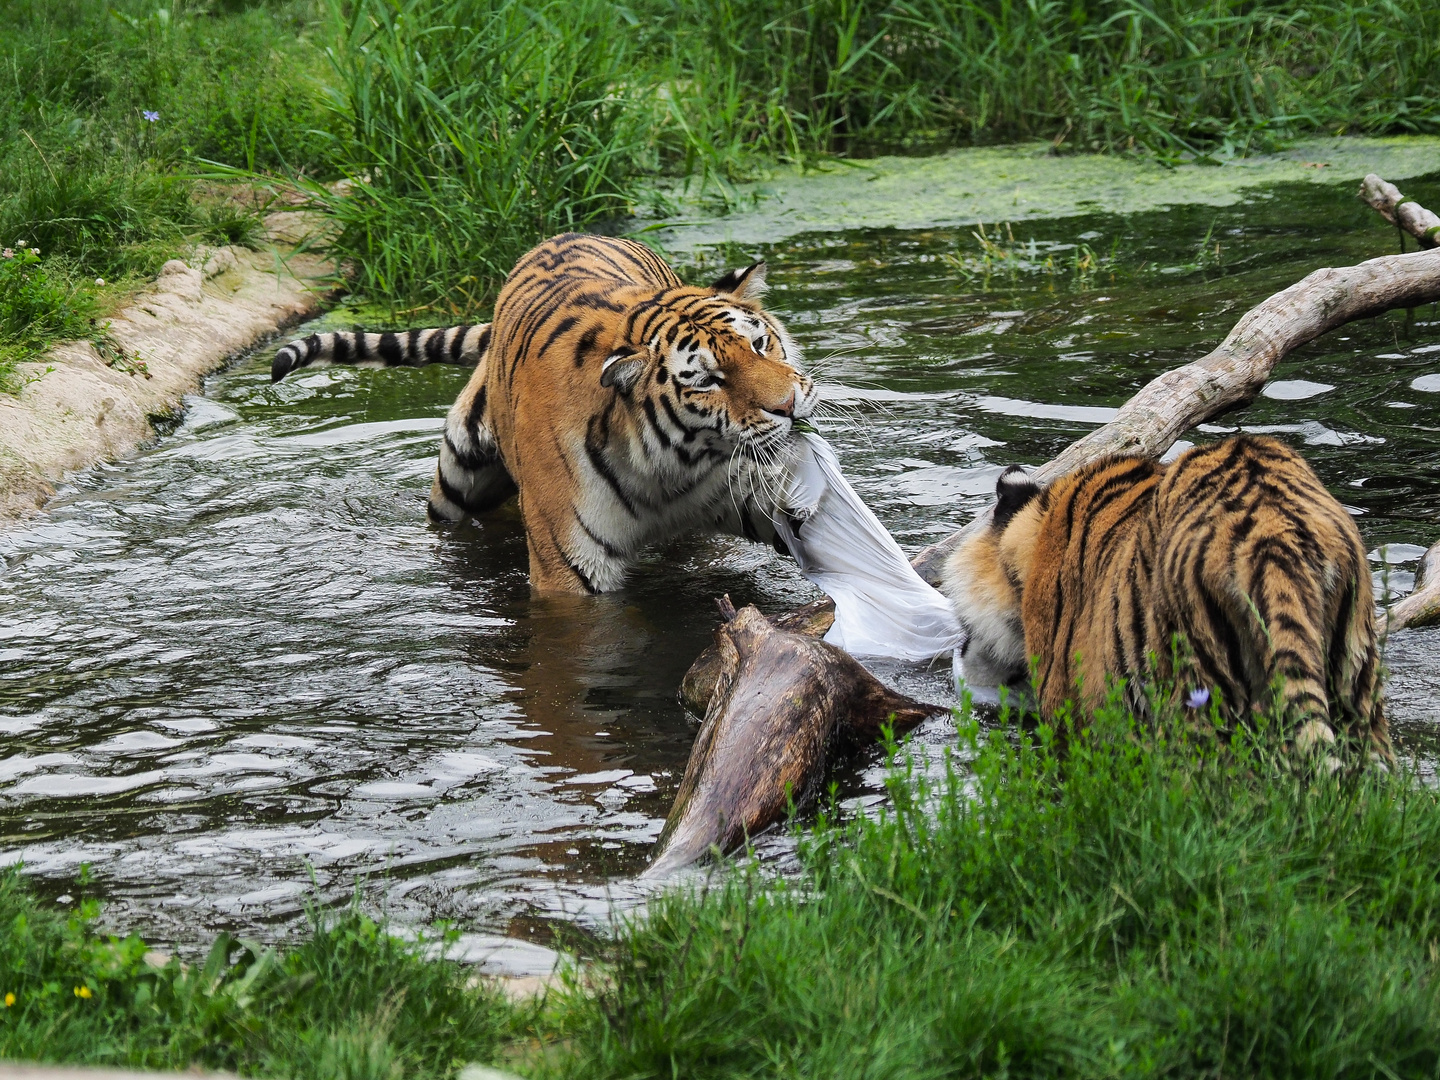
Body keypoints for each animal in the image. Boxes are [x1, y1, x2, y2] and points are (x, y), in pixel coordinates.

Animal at [272, 231, 812, 596]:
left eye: (760, 344)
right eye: (706, 381)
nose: (788, 405)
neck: (672, 467)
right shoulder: (570, 572)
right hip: (456, 481)